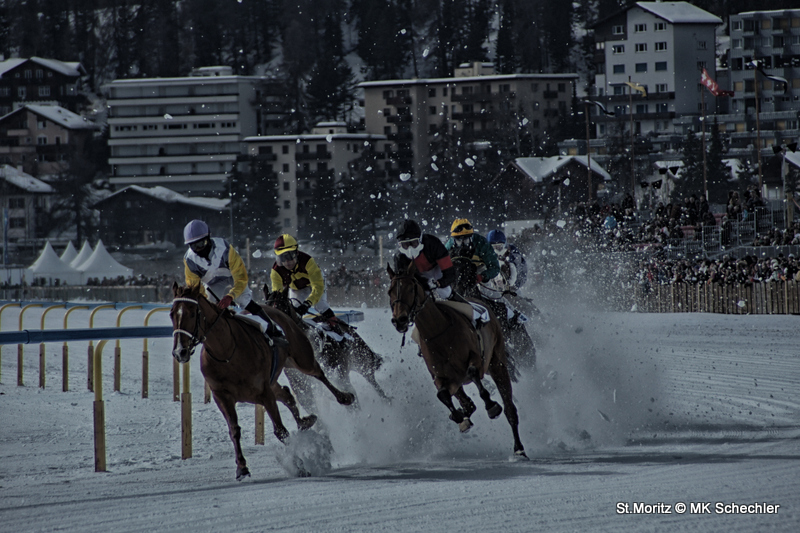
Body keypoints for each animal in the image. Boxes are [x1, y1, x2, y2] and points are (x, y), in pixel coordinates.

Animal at [170, 282, 354, 478]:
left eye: (191, 313)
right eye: (172, 314)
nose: (180, 352)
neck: (227, 352)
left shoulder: (264, 392)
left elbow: (280, 431)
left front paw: (299, 465)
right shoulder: (222, 396)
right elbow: (234, 430)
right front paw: (242, 467)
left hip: (301, 358)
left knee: (318, 373)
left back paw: (345, 397)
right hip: (274, 379)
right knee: (287, 394)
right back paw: (305, 421)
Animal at [386, 262, 528, 458]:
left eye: (411, 288)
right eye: (390, 291)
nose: (399, 320)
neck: (438, 332)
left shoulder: (476, 359)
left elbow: (474, 374)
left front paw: (491, 405)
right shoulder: (441, 376)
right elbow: (443, 395)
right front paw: (460, 416)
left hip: (497, 362)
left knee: (509, 408)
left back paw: (519, 448)